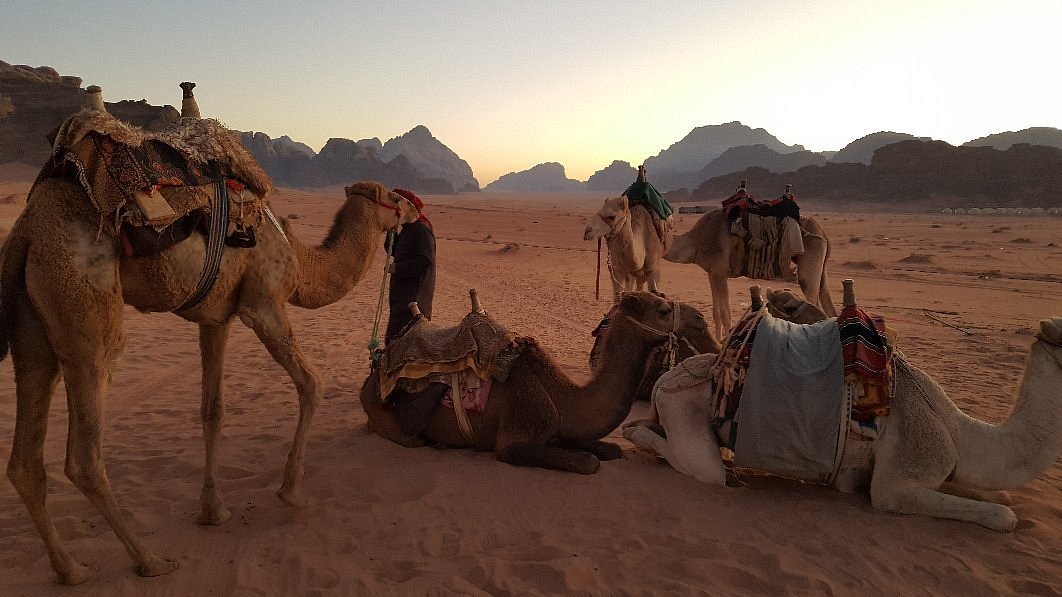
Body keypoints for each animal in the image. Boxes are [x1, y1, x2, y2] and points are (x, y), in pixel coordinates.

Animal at [0, 95, 418, 584]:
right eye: (395, 198)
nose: (417, 208)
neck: (300, 259)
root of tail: (26, 230)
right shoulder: (264, 303)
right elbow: (312, 383)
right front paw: (292, 492)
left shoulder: (215, 319)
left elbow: (212, 410)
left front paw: (212, 510)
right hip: (83, 301)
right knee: (84, 453)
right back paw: (149, 559)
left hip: (33, 330)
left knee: (25, 457)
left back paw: (70, 569)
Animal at [360, 291, 696, 474]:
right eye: (664, 310)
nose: (697, 317)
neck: (561, 397)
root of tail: (372, 377)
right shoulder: (515, 436)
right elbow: (589, 462)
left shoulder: (561, 430)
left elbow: (610, 450)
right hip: (390, 420)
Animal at [623, 307, 1062, 531]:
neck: (957, 430)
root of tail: (665, 379)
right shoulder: (896, 484)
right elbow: (1003, 515)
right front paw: (1005, 515)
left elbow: (999, 496)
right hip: (686, 416)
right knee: (696, 463)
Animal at [665, 208, 836, 338]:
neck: (697, 240)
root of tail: (824, 233)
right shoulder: (712, 273)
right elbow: (716, 313)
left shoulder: (720, 271)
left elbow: (725, 314)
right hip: (822, 270)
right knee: (826, 299)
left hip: (810, 259)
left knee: (811, 296)